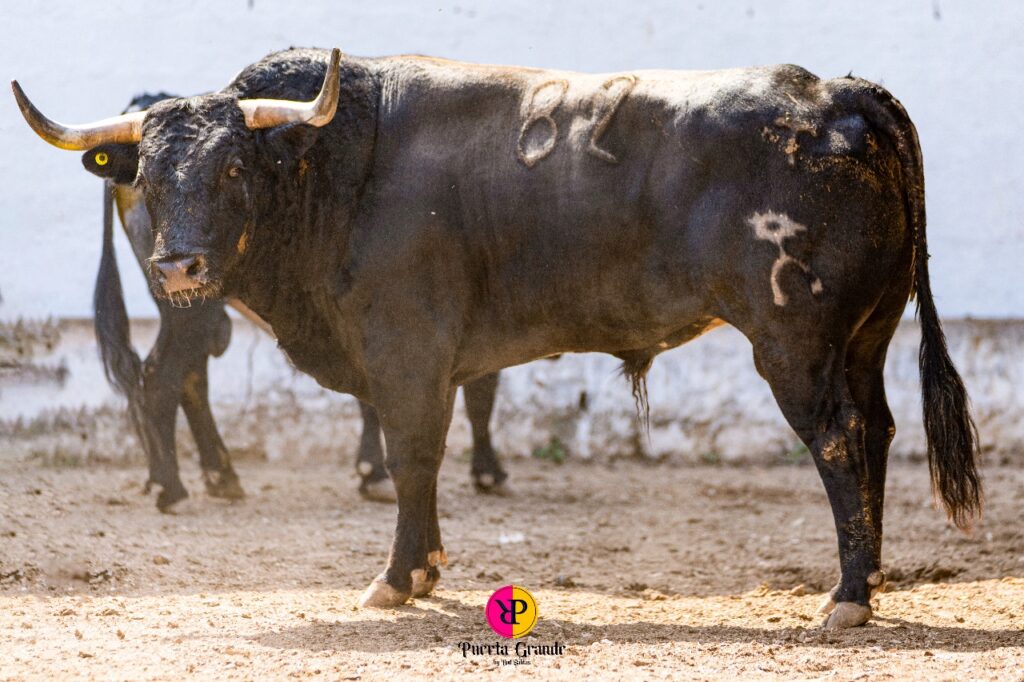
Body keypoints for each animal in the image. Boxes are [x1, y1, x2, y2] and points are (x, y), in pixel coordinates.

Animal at [9, 46, 983, 626]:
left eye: (234, 169)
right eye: (151, 174)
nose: (178, 266)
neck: (343, 171)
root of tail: (839, 93)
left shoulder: (407, 355)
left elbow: (410, 459)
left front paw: (396, 578)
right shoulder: (427, 363)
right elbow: (424, 459)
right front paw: (425, 570)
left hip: (796, 341)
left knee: (840, 439)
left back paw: (847, 597)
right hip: (865, 335)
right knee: (878, 430)